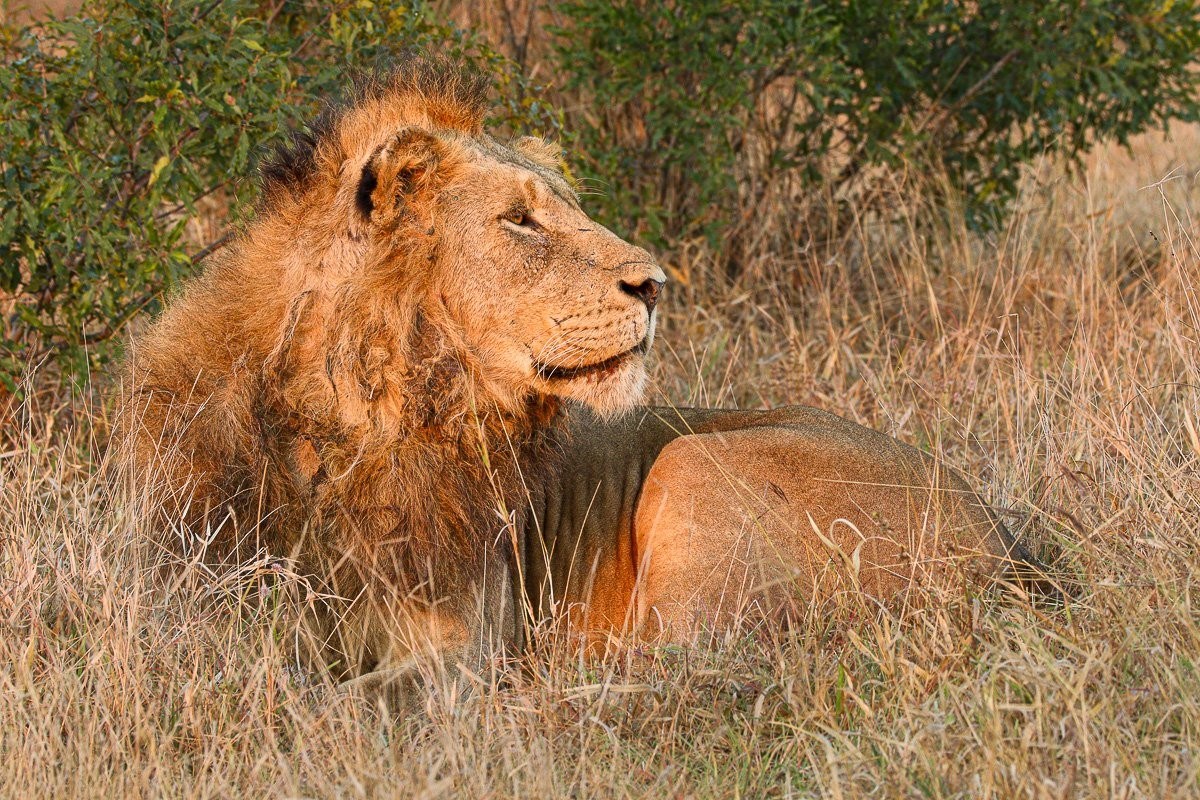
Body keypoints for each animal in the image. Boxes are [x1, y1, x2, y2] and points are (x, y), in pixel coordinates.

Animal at [117, 57, 1047, 696]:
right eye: (520, 221)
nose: (656, 283)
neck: (364, 415)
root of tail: (1010, 550)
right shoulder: (192, 591)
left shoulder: (459, 647)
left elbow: (350, 699)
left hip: (694, 468)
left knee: (685, 675)